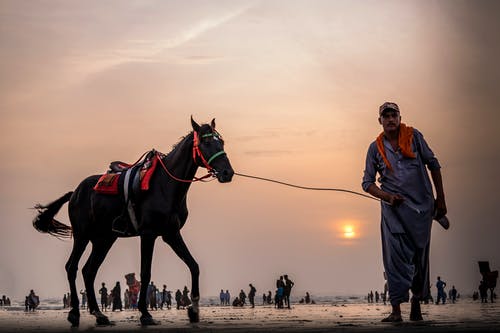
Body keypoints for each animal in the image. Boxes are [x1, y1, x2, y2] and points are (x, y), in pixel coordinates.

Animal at [32, 117, 233, 326]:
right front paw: (145, 313)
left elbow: (194, 266)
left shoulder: (171, 234)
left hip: (104, 239)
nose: (227, 172)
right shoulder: (148, 234)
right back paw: (74, 313)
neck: (165, 185)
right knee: (72, 267)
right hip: (82, 235)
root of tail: (75, 192)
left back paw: (99, 314)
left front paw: (193, 310)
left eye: (221, 142)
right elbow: (145, 273)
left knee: (89, 271)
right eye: (206, 142)